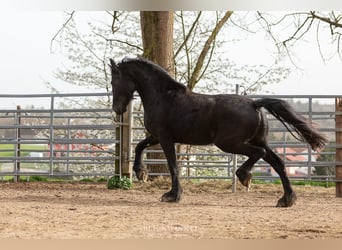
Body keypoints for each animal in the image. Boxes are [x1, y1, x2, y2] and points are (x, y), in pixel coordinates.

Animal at [109, 57, 326, 207]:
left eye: (113, 82)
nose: (117, 109)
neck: (163, 97)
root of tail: (255, 104)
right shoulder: (156, 136)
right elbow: (139, 146)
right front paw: (141, 172)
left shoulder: (165, 138)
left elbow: (172, 166)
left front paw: (172, 195)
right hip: (257, 140)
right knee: (278, 163)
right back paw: (286, 199)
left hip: (229, 143)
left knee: (259, 154)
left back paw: (244, 176)